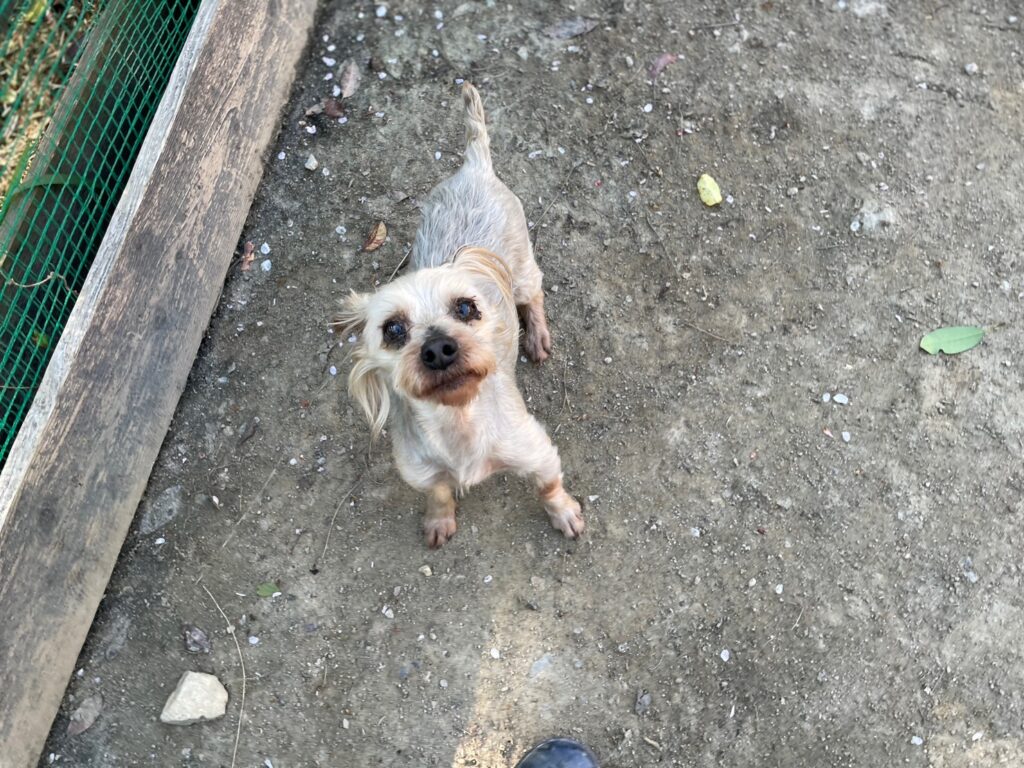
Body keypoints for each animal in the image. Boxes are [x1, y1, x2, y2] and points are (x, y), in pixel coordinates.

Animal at [332, 83, 583, 548]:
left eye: (466, 307)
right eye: (393, 329)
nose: (438, 349)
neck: (459, 420)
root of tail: (474, 168)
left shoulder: (537, 450)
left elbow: (549, 485)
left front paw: (564, 513)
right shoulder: (420, 470)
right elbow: (439, 491)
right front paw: (439, 519)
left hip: (522, 270)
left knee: (534, 295)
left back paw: (537, 336)